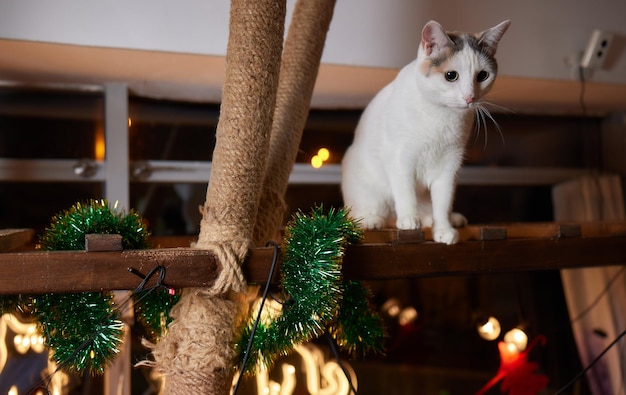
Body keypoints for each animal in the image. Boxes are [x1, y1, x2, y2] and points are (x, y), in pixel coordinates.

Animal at [342, 20, 508, 244]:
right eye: (451, 75)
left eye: (482, 75)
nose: (470, 98)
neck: (441, 116)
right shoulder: (400, 158)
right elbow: (405, 192)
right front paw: (409, 219)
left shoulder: (450, 165)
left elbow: (443, 202)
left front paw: (443, 228)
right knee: (364, 212)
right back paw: (372, 219)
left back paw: (447, 219)